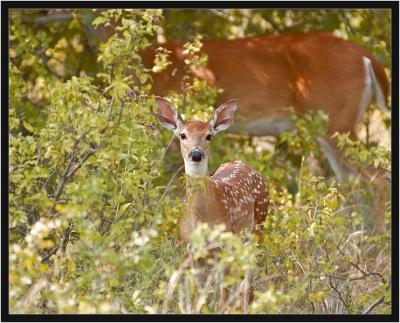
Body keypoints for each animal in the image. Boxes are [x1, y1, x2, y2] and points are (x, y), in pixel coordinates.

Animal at [155, 97, 270, 314]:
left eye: (209, 136)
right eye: (182, 135)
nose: (196, 154)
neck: (204, 216)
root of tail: (245, 164)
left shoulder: (225, 244)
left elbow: (222, 297)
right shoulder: (190, 249)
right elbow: (199, 297)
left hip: (257, 228)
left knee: (246, 284)